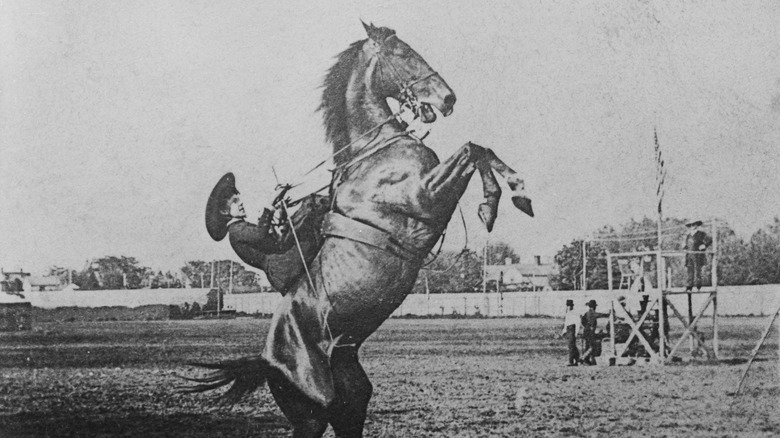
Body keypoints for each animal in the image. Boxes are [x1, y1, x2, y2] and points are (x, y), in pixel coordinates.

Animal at [187, 24, 536, 438]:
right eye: (402, 53)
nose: (447, 98)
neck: (376, 150)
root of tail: (265, 360)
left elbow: (479, 148)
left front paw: (513, 195)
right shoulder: (426, 195)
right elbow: (471, 150)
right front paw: (504, 198)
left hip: (351, 400)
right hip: (311, 414)